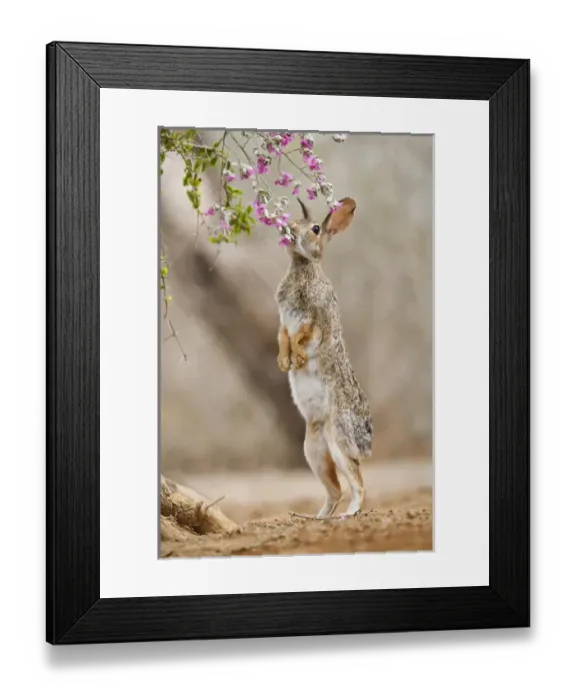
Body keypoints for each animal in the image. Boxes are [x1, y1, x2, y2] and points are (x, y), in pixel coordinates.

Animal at [275, 196, 372, 518]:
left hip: (338, 439)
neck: (303, 265)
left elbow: (301, 336)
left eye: (315, 228)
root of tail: (366, 443)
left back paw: (347, 515)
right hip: (313, 448)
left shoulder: (314, 318)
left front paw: (298, 359)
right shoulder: (283, 321)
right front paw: (284, 363)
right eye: (294, 221)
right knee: (335, 490)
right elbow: (283, 337)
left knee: (357, 483)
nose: (289, 230)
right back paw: (314, 518)